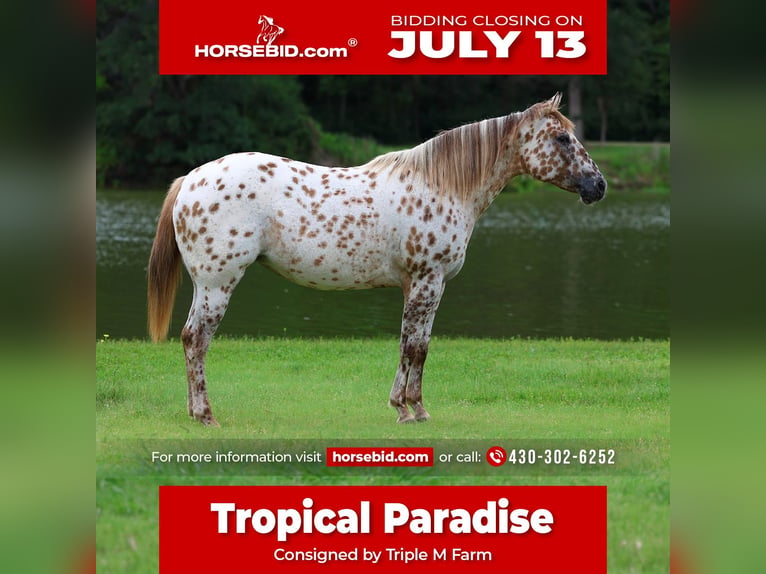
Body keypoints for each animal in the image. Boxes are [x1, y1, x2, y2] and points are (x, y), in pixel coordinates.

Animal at [147, 94, 606, 426]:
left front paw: (409, 407)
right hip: (217, 283)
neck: (441, 185)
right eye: (562, 138)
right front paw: (409, 409)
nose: (598, 185)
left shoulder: (428, 285)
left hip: (207, 285)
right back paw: (207, 416)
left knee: (190, 339)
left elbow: (416, 345)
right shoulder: (425, 280)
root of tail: (191, 179)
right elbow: (414, 347)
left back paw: (195, 413)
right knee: (196, 340)